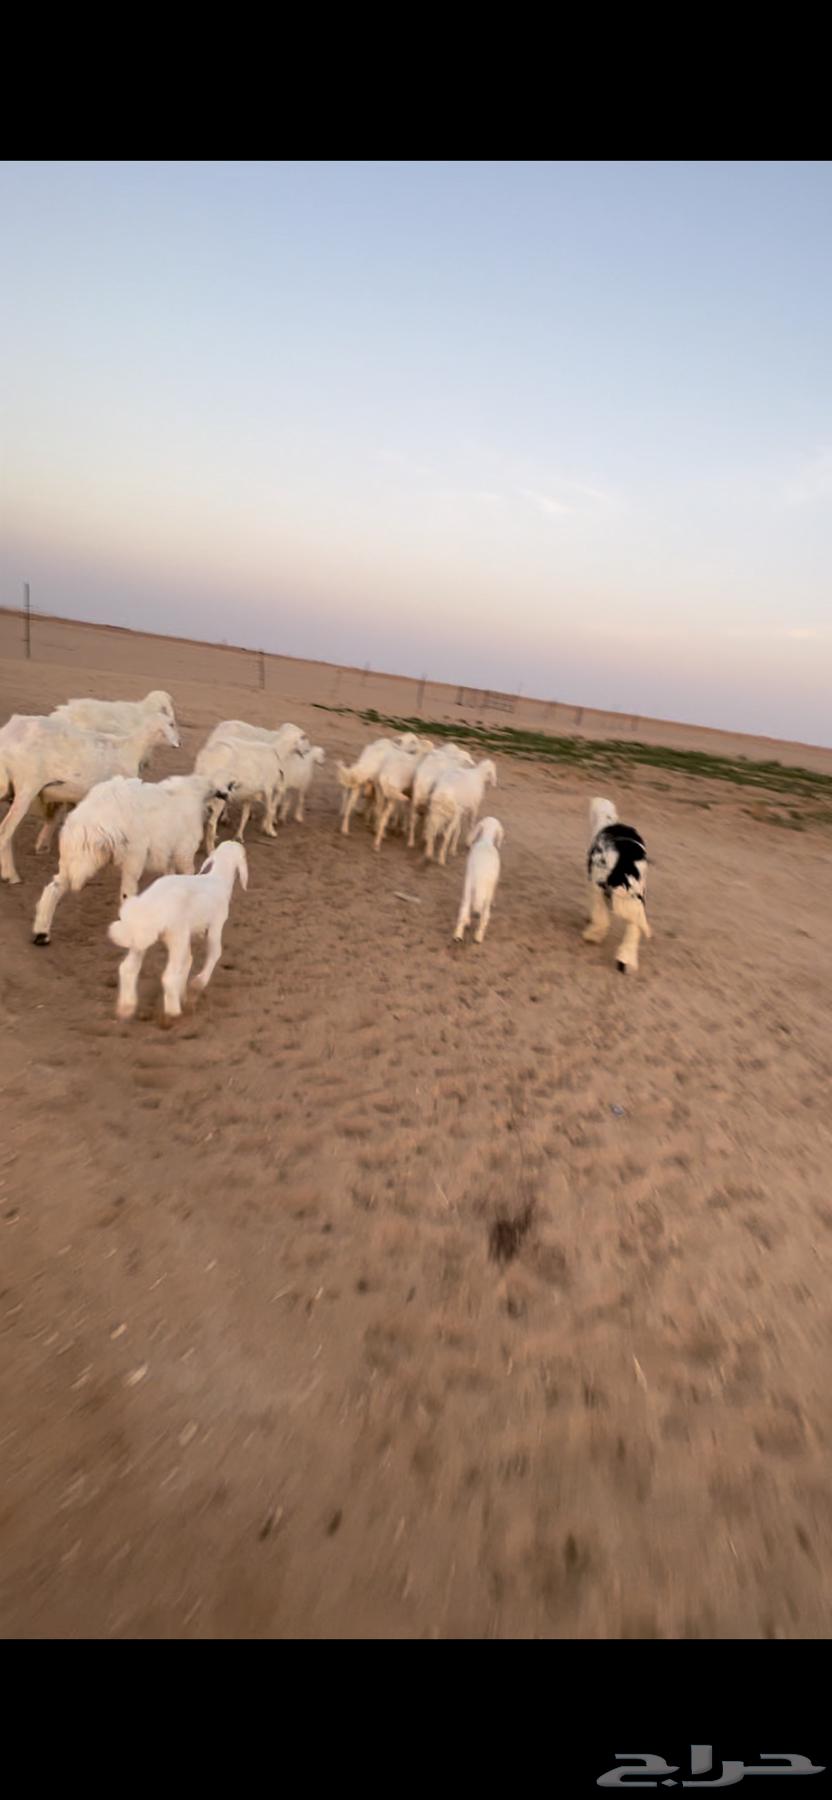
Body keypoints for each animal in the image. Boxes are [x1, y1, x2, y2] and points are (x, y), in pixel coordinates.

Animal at [0, 712, 181, 885]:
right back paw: (11, 875)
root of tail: (7, 734)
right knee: (5, 831)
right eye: (171, 724)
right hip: (26, 787)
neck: (131, 749)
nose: (179, 742)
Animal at [31, 774, 235, 945]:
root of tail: (87, 825)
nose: (226, 794)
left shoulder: (169, 854)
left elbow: (170, 878)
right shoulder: (183, 853)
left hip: (70, 859)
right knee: (127, 893)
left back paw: (41, 933)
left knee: (53, 887)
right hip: (132, 857)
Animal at [108, 840, 248, 1022]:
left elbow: (188, 961)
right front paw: (196, 985)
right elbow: (214, 953)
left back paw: (126, 1008)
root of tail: (149, 911)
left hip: (142, 937)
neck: (218, 877)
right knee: (168, 977)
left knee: (127, 969)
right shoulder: (216, 924)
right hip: (176, 936)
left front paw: (183, 993)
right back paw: (172, 1013)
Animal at [584, 796, 651, 974]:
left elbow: (599, 913)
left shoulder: (596, 886)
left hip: (601, 885)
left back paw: (593, 935)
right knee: (634, 926)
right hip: (637, 895)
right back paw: (627, 960)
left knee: (604, 916)